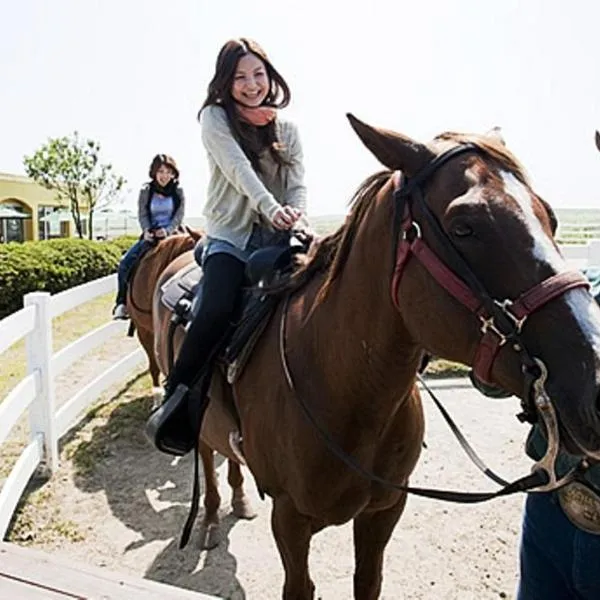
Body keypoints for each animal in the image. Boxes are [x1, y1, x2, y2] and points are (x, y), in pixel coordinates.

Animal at [152, 115, 600, 596]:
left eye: (550, 217)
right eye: (464, 226)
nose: (594, 384)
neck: (345, 390)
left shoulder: (384, 509)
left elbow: (368, 580)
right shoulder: (289, 520)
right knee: (206, 458)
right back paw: (212, 521)